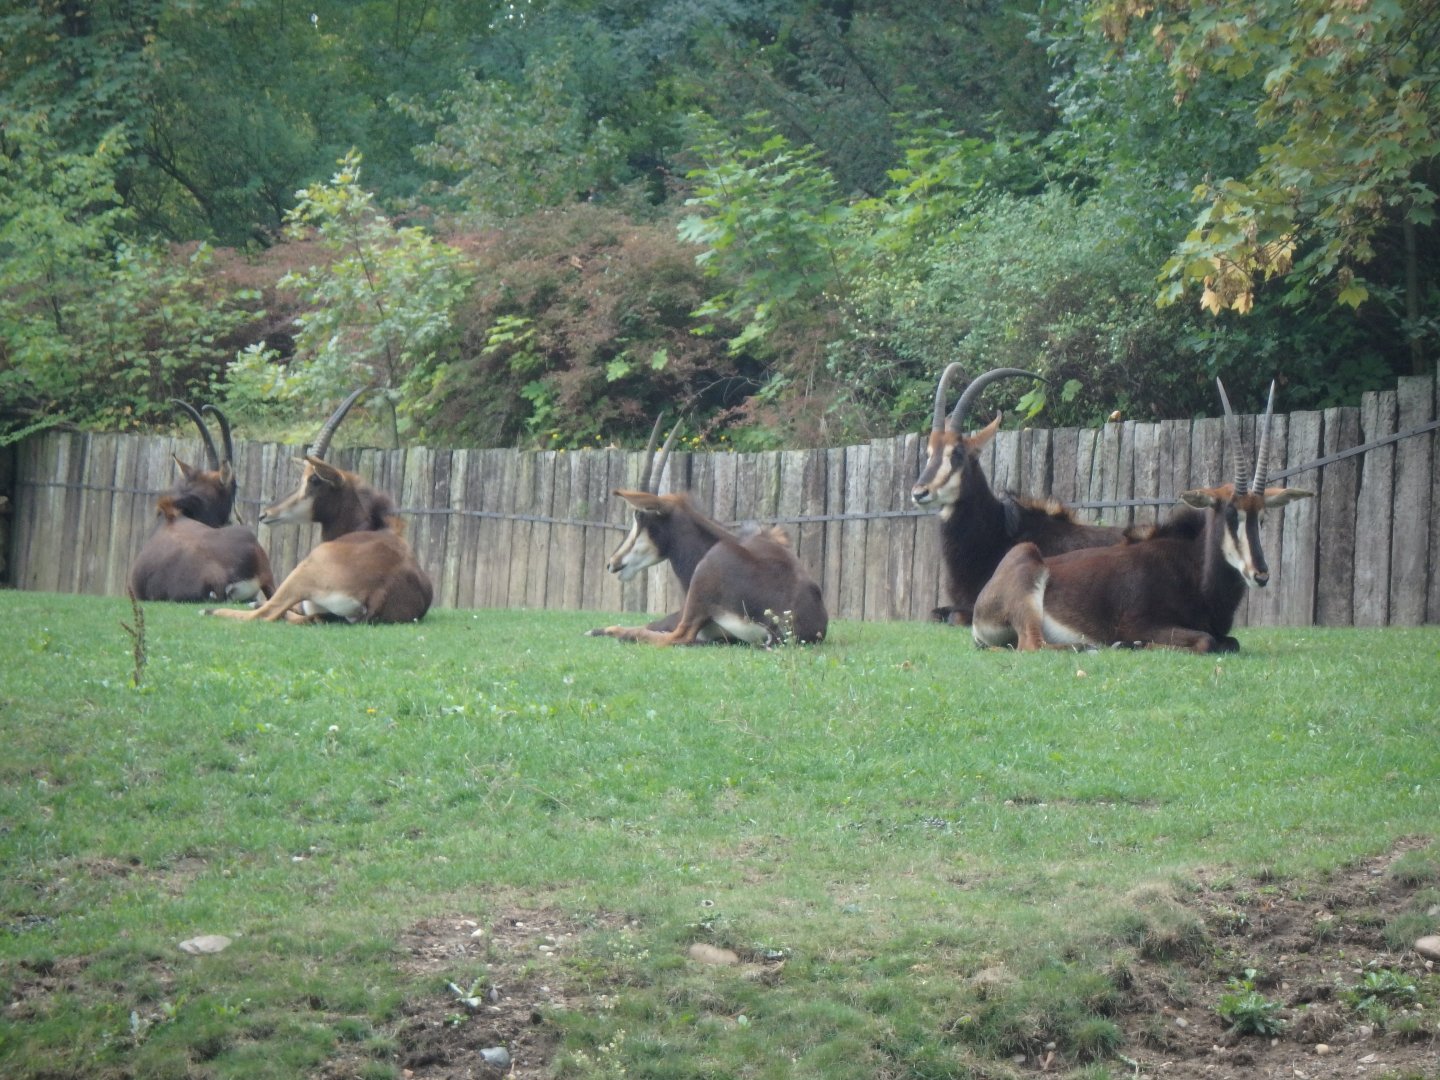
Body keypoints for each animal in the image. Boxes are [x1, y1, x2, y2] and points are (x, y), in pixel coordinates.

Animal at [204, 388, 433, 624]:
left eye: (314, 479)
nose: (266, 514)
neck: (373, 528)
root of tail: (380, 593)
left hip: (302, 571)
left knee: (266, 613)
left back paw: (214, 610)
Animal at [912, 365, 1127, 625]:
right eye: (929, 453)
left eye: (957, 453)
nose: (919, 493)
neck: (997, 533)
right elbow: (935, 613)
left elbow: (956, 615)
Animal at [971, 381, 1313, 653]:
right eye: (1231, 514)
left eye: (1262, 518)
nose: (1261, 574)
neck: (1193, 570)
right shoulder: (1139, 623)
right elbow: (1205, 640)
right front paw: (1131, 644)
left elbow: (1230, 641)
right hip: (1028, 574)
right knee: (1032, 646)